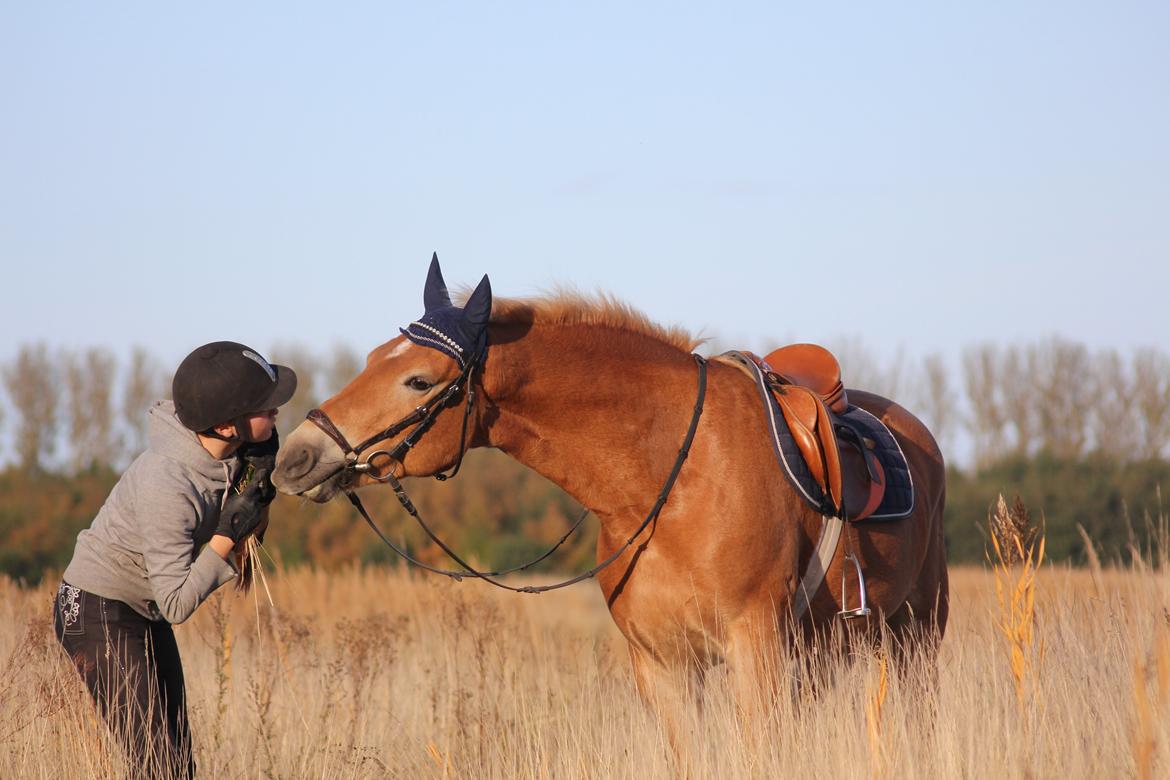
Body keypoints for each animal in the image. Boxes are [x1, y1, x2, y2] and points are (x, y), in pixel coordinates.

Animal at [273, 292, 950, 725]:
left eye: (417, 379)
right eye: (369, 361)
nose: (296, 456)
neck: (674, 480)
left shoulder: (755, 652)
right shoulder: (662, 668)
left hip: (915, 636)